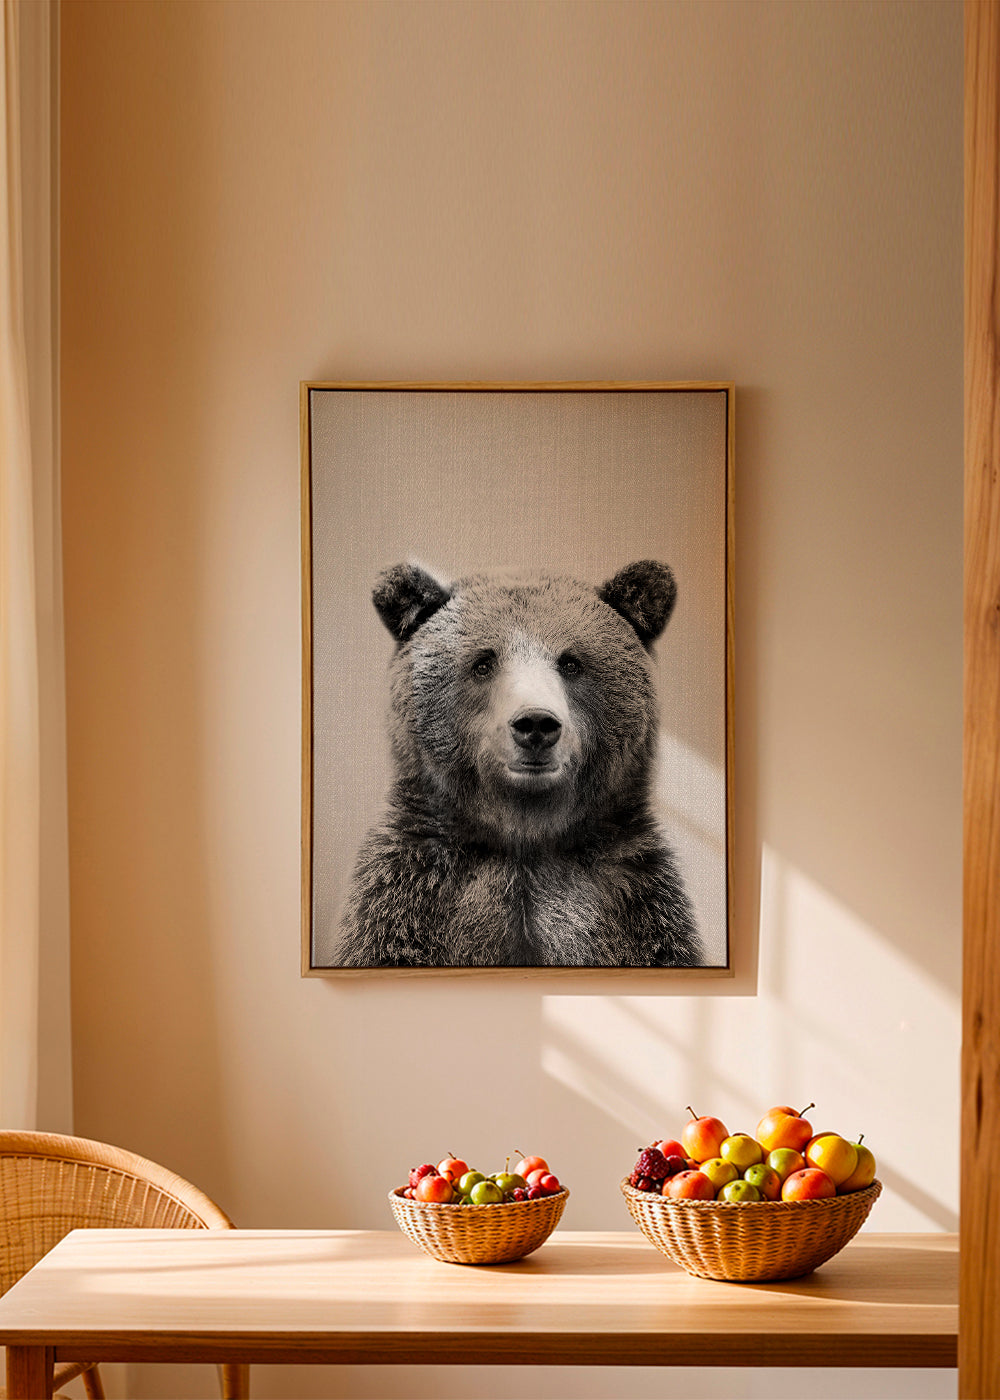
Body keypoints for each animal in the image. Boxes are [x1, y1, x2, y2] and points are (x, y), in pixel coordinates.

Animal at [334, 559, 702, 968]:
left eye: (570, 662)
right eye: (483, 662)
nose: (536, 724)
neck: (525, 837)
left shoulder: (632, 904)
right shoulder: (411, 898)